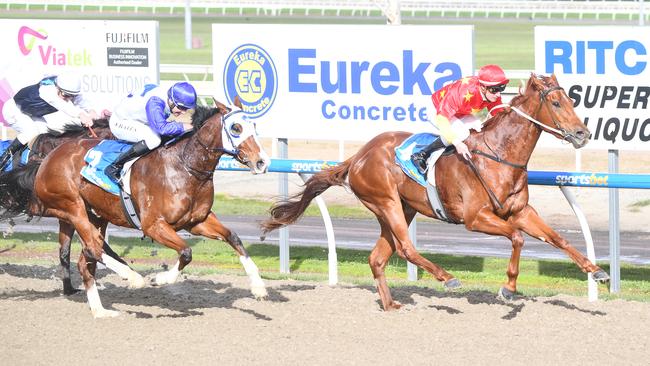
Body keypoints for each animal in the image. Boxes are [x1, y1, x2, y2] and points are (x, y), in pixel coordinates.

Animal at [0, 100, 268, 318]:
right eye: (236, 128)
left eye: (254, 126)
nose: (262, 162)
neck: (185, 167)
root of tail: (46, 160)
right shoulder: (153, 225)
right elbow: (186, 252)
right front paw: (160, 278)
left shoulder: (197, 221)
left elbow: (233, 237)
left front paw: (258, 287)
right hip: (72, 208)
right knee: (93, 249)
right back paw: (133, 278)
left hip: (96, 216)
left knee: (86, 258)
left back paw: (100, 310)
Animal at [260, 75, 608, 312]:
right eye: (556, 103)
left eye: (571, 101)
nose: (583, 133)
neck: (499, 155)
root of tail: (357, 157)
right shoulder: (476, 218)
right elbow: (518, 238)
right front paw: (508, 287)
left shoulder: (521, 212)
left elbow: (557, 238)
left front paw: (597, 271)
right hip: (387, 202)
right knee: (406, 249)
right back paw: (447, 277)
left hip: (401, 208)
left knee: (377, 258)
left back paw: (390, 304)